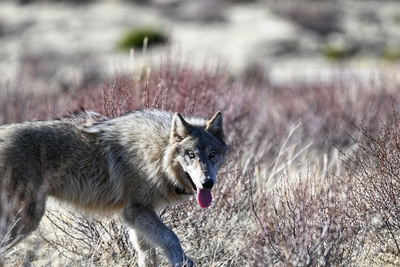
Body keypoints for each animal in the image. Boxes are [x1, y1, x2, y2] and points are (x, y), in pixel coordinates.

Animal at [0, 109, 227, 267]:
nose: (208, 183)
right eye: (191, 155)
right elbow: (171, 237)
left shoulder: (135, 218)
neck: (157, 154)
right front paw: (182, 261)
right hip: (25, 220)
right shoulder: (137, 210)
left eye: (212, 154)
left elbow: (147, 254)